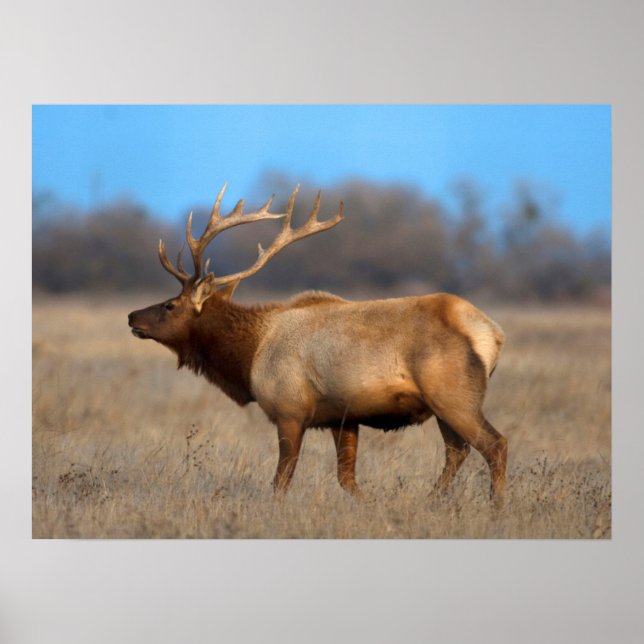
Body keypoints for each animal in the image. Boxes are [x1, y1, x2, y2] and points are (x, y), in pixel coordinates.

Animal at [128, 185, 507, 504]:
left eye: (170, 305)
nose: (132, 317)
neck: (249, 356)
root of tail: (491, 334)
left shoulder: (289, 409)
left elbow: (281, 480)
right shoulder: (344, 417)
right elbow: (347, 479)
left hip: (453, 396)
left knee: (495, 445)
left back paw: (496, 506)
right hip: (445, 405)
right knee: (458, 452)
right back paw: (432, 500)